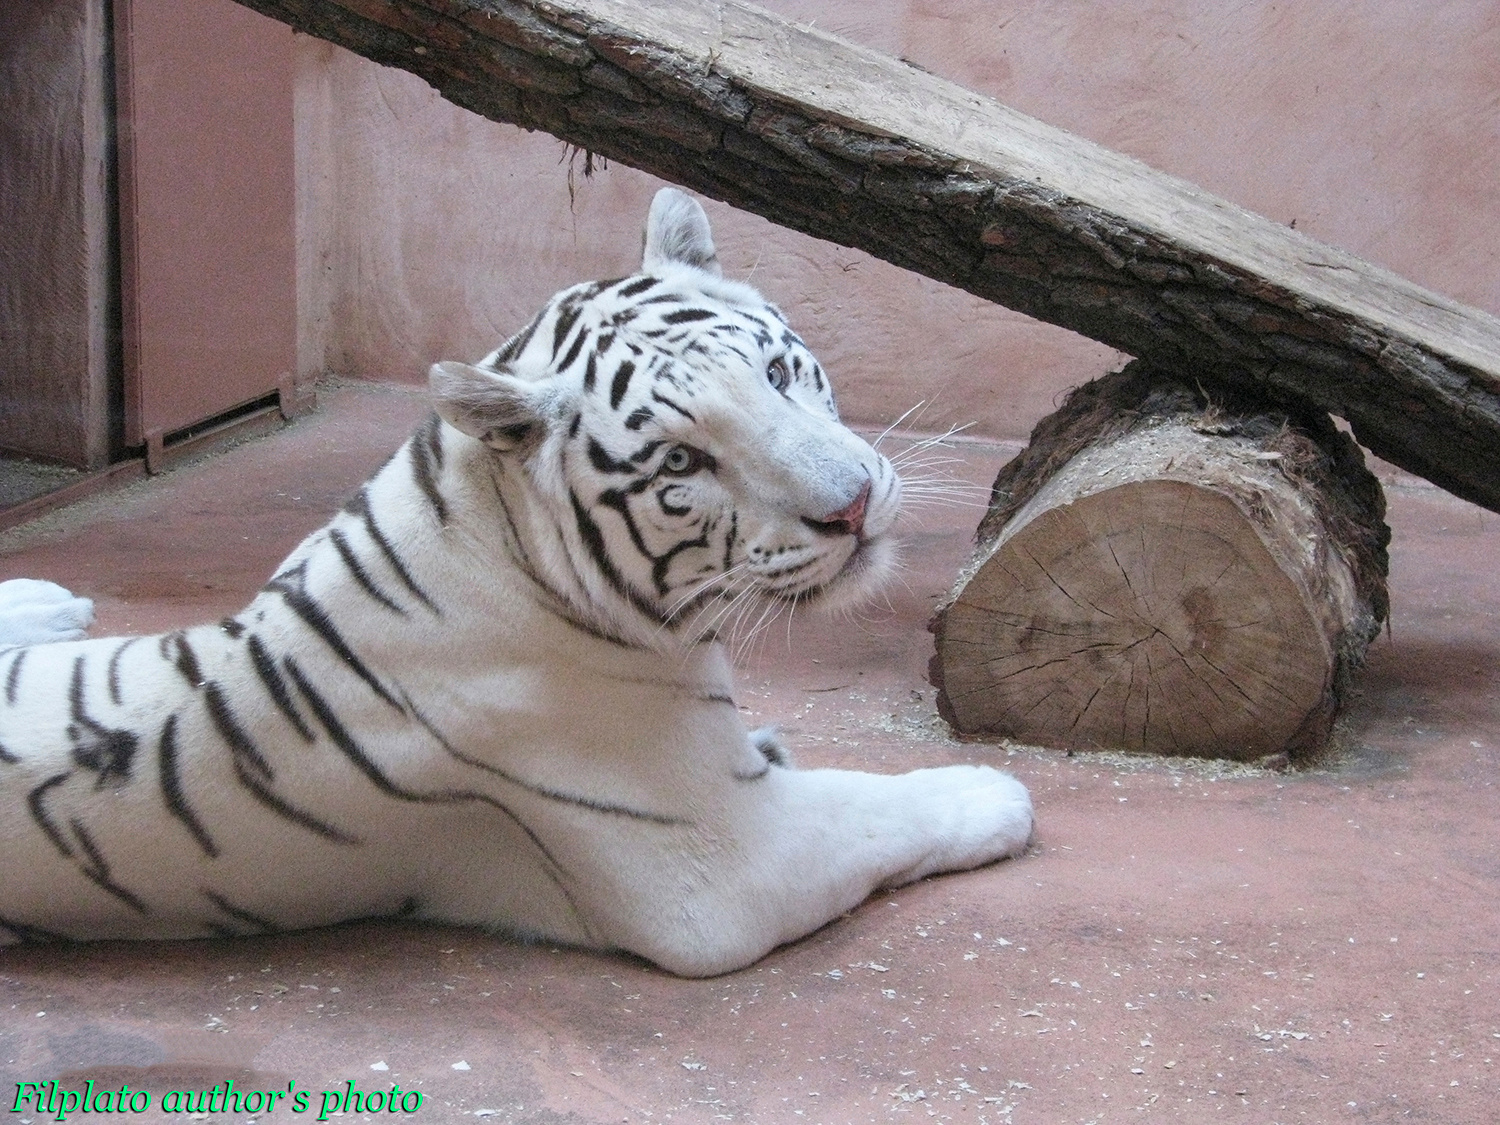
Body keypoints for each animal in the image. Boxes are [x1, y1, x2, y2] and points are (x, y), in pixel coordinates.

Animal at [0, 189, 1033, 977]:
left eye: (780, 372)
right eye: (681, 463)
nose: (854, 507)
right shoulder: (723, 864)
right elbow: (880, 807)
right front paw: (995, 792)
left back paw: (49, 600)